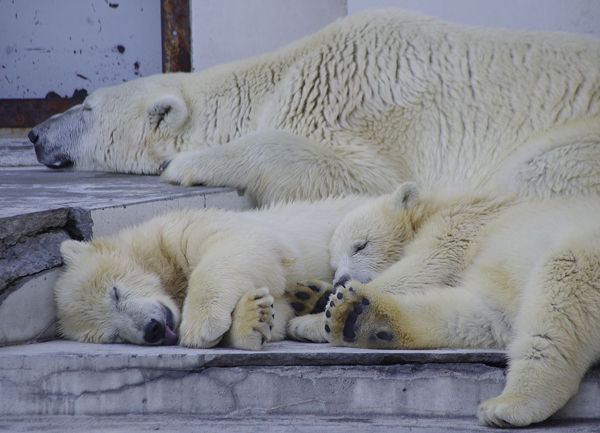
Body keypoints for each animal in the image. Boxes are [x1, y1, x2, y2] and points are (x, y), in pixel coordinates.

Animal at [31, 9, 600, 205]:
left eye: (85, 107)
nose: (35, 134)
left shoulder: (358, 104)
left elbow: (368, 177)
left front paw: (184, 163)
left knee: (535, 174)